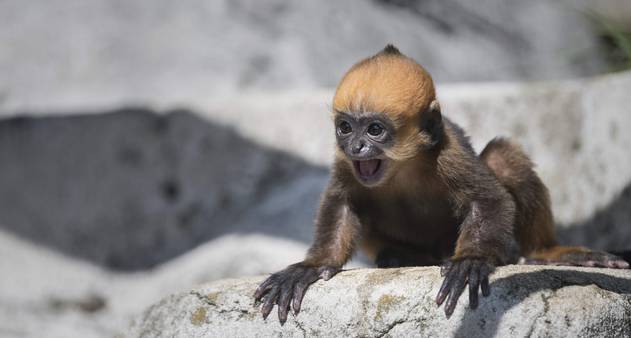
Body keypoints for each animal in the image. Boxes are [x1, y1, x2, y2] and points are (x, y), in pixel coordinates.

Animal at [253, 44, 628, 322]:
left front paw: (471, 260)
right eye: (345, 128)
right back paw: (399, 256)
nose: (355, 147)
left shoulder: (449, 153)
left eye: (374, 130)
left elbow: (489, 199)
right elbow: (342, 204)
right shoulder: (347, 165)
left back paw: (544, 252)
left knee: (503, 156)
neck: (401, 168)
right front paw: (311, 266)